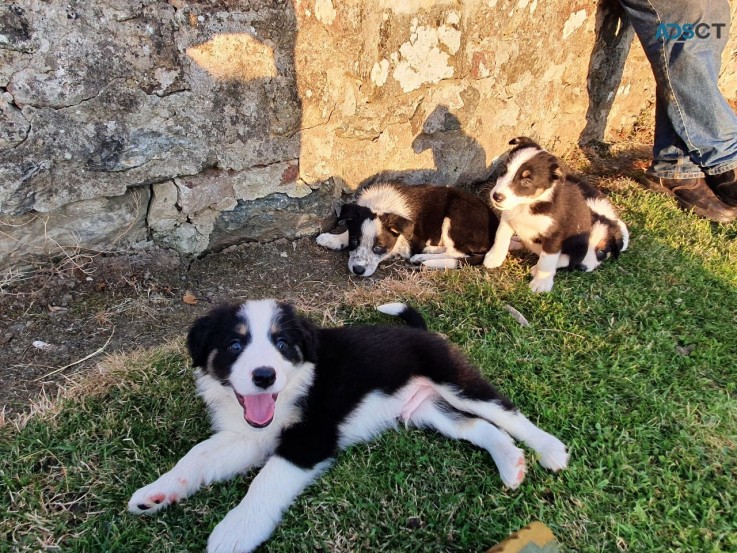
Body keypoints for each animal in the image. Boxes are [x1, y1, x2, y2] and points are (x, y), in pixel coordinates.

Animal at [314, 181, 498, 276]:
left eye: (379, 248)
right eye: (354, 242)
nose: (358, 270)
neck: (382, 205)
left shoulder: (407, 242)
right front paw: (332, 239)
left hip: (456, 213)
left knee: (458, 253)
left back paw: (423, 257)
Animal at [484, 137, 628, 294]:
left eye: (527, 181)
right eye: (504, 170)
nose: (496, 196)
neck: (527, 205)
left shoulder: (554, 235)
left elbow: (547, 261)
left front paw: (541, 283)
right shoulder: (508, 217)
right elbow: (500, 237)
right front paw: (494, 258)